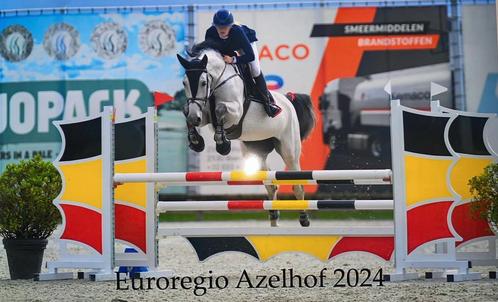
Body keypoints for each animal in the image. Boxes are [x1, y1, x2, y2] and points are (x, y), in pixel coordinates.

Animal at [175, 42, 316, 226]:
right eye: (184, 82)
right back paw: (274, 222)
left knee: (297, 183)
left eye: (203, 83)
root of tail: (288, 100)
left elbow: (220, 110)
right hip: (256, 151)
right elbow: (187, 111)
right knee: (271, 185)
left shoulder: (234, 112)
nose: (194, 117)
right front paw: (196, 141)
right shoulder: (202, 112)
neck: (218, 81)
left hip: (289, 149)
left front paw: (222, 144)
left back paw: (304, 218)